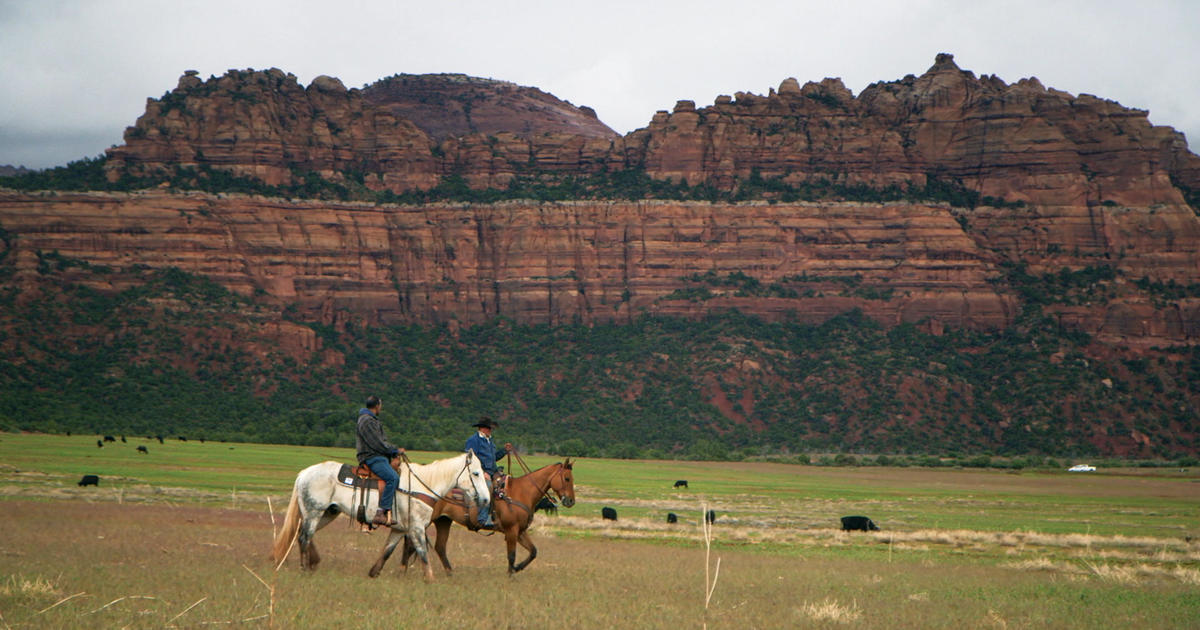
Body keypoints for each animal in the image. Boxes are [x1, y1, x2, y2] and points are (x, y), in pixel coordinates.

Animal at [376, 456, 578, 573]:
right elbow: (511, 555)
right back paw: (404, 569)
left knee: (439, 547)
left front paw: (518, 568)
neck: (520, 493)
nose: (570, 501)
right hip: (427, 520)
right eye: (567, 478)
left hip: (443, 521)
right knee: (411, 543)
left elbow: (533, 551)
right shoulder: (511, 531)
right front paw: (511, 574)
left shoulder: (520, 531)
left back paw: (449, 573)